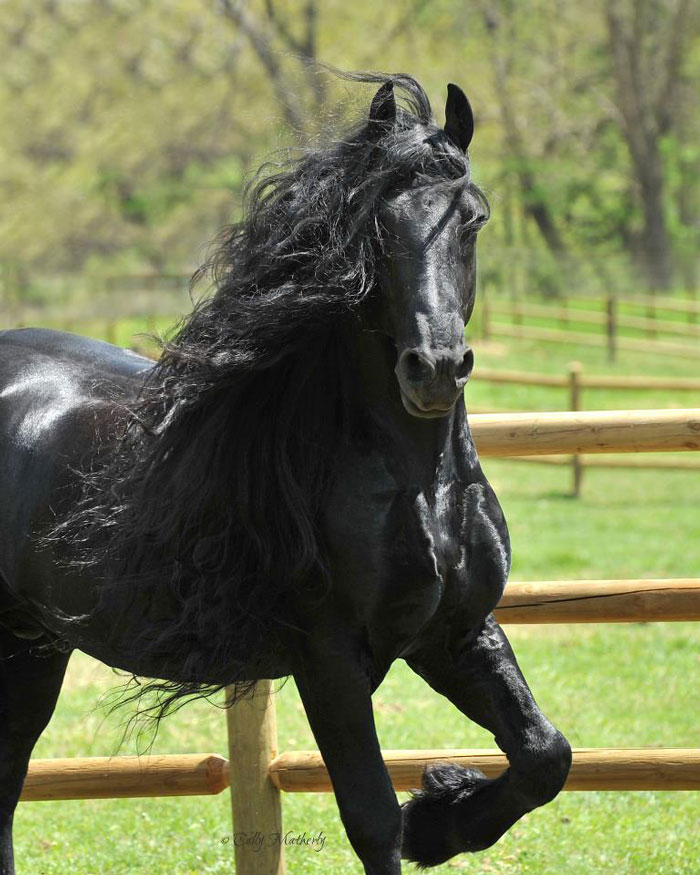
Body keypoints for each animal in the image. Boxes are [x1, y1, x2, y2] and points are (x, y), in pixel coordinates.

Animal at [0, 73, 571, 874]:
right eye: (373, 228)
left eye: (474, 220)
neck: (423, 490)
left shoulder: (455, 633)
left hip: (32, 646)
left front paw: (441, 819)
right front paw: (426, 816)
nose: (433, 369)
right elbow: (370, 817)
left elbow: (546, 755)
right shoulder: (330, 657)